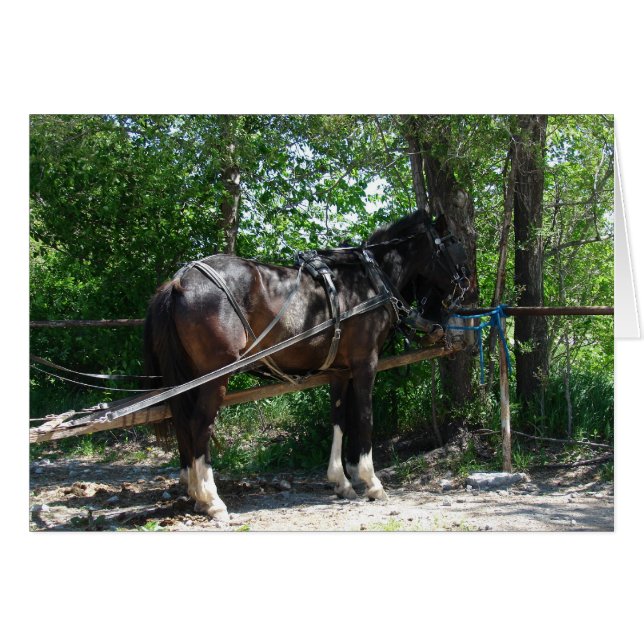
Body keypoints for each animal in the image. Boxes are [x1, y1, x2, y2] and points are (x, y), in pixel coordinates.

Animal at [143, 209, 473, 521]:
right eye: (454, 244)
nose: (466, 283)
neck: (369, 281)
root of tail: (181, 280)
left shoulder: (340, 371)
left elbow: (339, 420)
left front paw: (342, 481)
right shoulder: (365, 363)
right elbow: (364, 418)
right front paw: (372, 482)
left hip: (188, 378)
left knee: (182, 422)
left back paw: (196, 494)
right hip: (215, 376)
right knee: (199, 425)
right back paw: (211, 499)